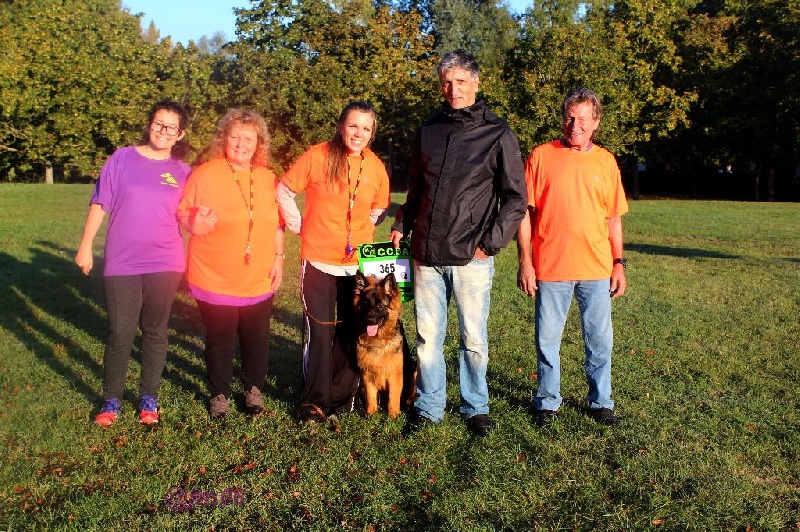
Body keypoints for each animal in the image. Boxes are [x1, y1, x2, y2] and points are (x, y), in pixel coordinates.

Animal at [356, 272, 418, 418]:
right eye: (365, 304)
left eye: (380, 306)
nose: (369, 320)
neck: (379, 341)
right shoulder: (367, 376)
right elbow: (371, 399)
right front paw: (370, 416)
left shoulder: (395, 376)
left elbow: (393, 399)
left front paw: (393, 417)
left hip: (415, 370)